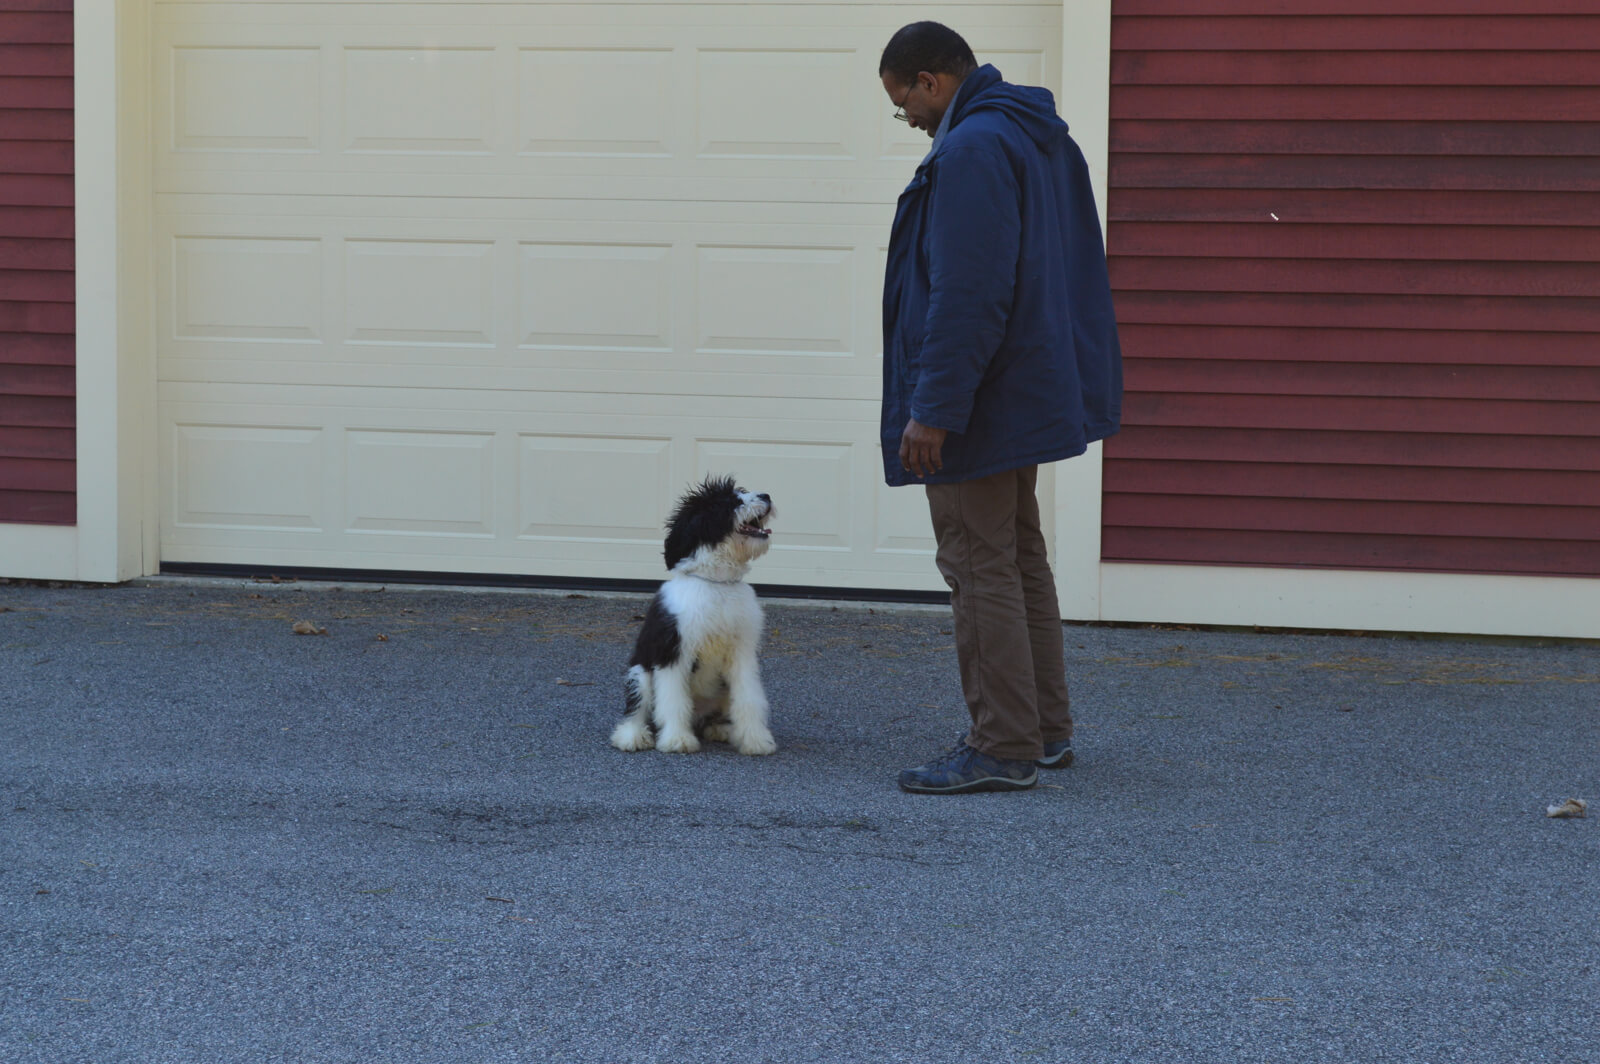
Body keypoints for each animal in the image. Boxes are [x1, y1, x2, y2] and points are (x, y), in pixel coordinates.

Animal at [608, 473, 777, 755]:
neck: (717, 584)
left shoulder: (742, 652)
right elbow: (674, 700)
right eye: (731, 501)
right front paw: (677, 740)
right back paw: (633, 736)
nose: (767, 495)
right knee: (636, 709)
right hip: (640, 672)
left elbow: (749, 698)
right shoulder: (673, 651)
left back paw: (720, 729)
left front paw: (756, 740)